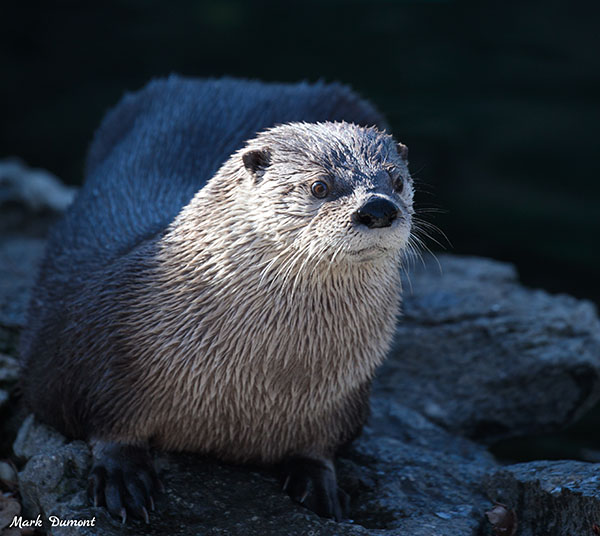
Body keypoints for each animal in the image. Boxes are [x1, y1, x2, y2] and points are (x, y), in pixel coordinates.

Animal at [19, 76, 414, 522]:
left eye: (396, 182)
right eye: (320, 185)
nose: (378, 208)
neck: (257, 379)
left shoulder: (343, 399)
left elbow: (321, 447)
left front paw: (320, 482)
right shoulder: (91, 359)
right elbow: (102, 420)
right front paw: (123, 476)